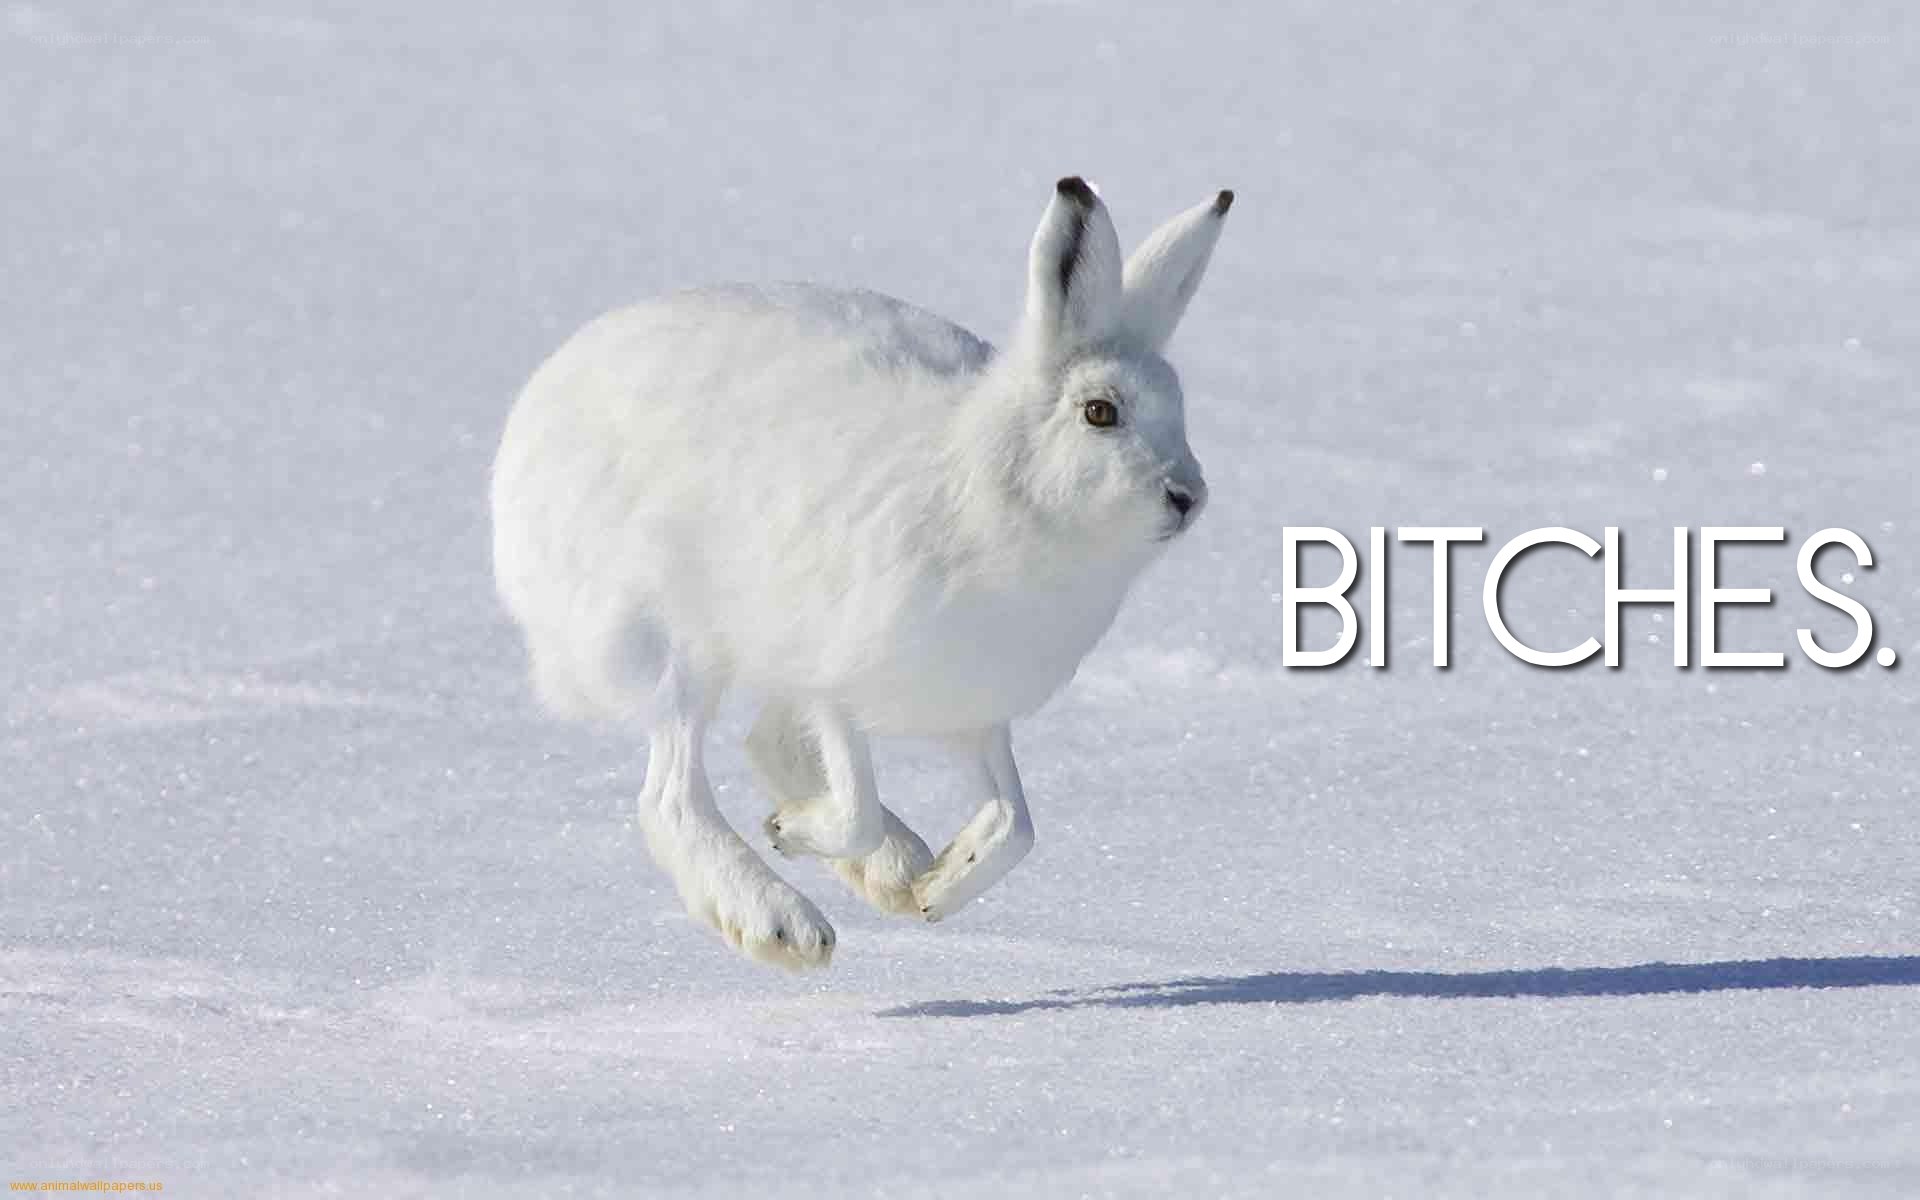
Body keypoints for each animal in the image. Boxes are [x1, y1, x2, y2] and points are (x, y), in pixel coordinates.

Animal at [491, 177, 1231, 968]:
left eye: (1179, 410)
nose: (1187, 496)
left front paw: (937, 888)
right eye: (1099, 413)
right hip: (678, 642)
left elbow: (1016, 824)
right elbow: (856, 809)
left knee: (763, 747)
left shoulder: (975, 708)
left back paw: (898, 870)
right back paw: (781, 922)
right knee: (672, 797)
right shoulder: (834, 678)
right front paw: (793, 834)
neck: (997, 489)